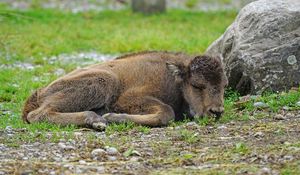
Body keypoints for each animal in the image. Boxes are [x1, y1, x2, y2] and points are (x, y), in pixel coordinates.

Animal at [22, 51, 227, 129]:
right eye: (197, 85)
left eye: (224, 85)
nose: (216, 112)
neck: (174, 78)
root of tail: (38, 93)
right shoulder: (128, 99)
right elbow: (166, 112)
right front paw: (112, 117)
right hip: (104, 82)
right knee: (38, 114)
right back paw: (97, 120)